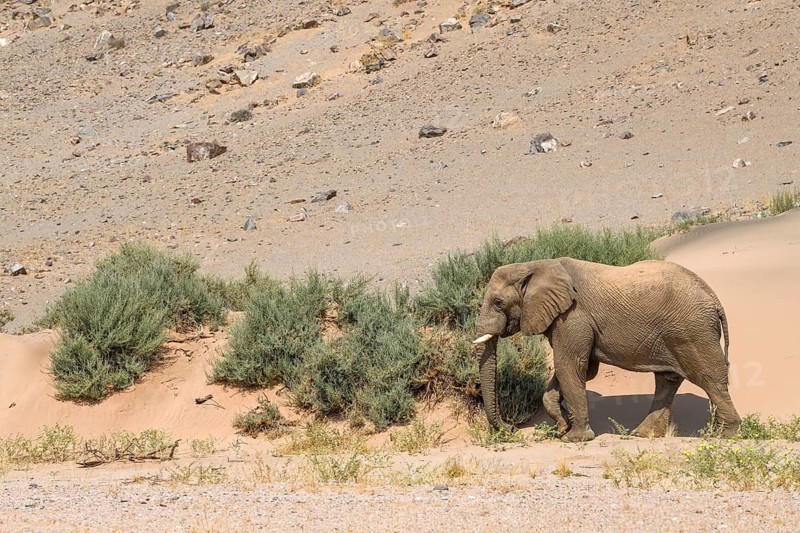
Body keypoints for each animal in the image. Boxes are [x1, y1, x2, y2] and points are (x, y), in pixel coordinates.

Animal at [472, 257, 741, 442]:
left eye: (498, 303)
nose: (510, 428)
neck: (535, 265)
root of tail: (715, 301)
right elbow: (580, 370)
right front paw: (561, 428)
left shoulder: (573, 316)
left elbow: (570, 365)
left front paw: (574, 438)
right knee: (668, 381)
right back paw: (641, 435)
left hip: (693, 332)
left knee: (708, 379)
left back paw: (725, 435)